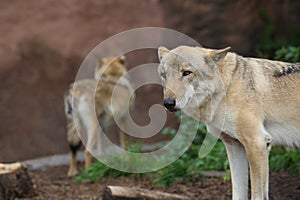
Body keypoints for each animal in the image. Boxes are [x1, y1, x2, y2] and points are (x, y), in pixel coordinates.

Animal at [158, 45, 298, 200]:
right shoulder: (234, 146)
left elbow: (257, 194)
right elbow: (238, 193)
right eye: (164, 75)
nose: (168, 103)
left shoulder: (257, 143)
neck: (227, 87)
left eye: (187, 73)